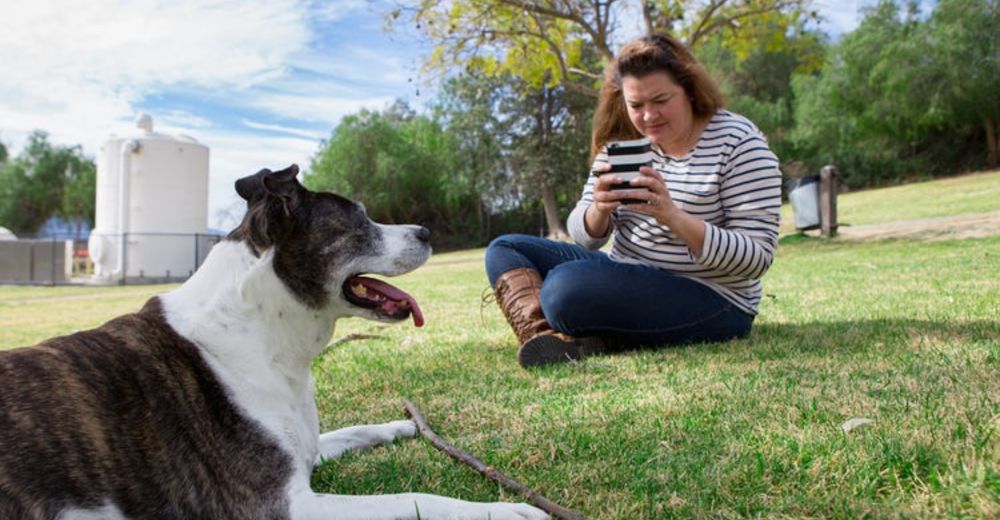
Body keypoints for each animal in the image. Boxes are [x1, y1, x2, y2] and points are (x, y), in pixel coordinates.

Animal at [0, 166, 548, 520]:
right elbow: (415, 501)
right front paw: (509, 512)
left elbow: (351, 431)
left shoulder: (300, 457)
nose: (427, 231)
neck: (263, 330)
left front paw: (400, 426)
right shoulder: (286, 505)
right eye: (359, 222)